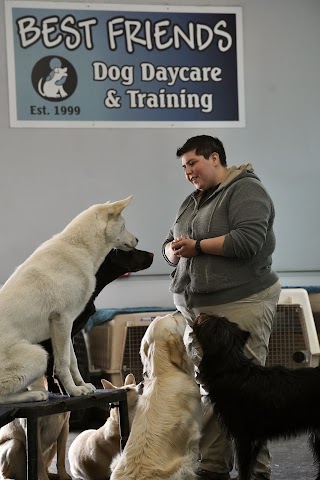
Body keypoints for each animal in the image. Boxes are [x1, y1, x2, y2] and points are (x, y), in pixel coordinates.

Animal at [0, 197, 137, 404]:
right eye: (124, 225)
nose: (137, 240)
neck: (79, 247)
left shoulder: (68, 326)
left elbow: (72, 361)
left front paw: (82, 386)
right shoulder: (62, 320)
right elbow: (63, 363)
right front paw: (73, 391)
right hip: (39, 354)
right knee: (3, 397)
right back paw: (34, 394)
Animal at [194, 312, 320, 480]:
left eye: (206, 320)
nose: (201, 313)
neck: (233, 370)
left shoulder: (244, 437)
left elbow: (244, 468)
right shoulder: (255, 440)